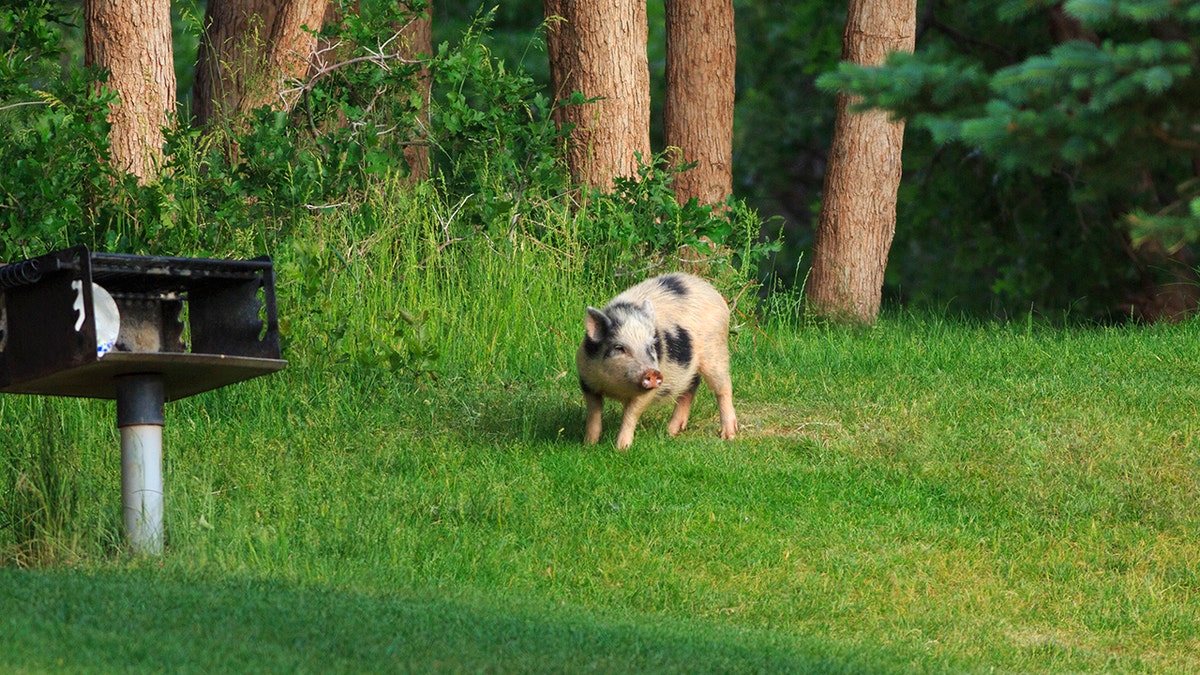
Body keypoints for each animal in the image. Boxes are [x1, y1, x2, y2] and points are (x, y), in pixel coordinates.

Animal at [576, 270, 734, 449]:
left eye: (651, 346)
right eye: (619, 348)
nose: (652, 372)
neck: (616, 388)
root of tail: (709, 288)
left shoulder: (649, 391)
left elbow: (631, 414)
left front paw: (621, 448)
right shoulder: (586, 380)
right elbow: (594, 413)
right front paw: (589, 444)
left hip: (715, 351)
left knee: (723, 387)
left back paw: (728, 436)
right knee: (691, 385)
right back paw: (671, 432)